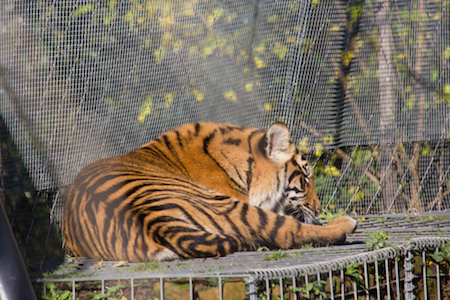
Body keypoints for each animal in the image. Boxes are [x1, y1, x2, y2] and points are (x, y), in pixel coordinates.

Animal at [63, 122, 356, 262]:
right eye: (305, 180)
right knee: (288, 231)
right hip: (227, 204)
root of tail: (153, 218)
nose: (318, 208)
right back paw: (346, 224)